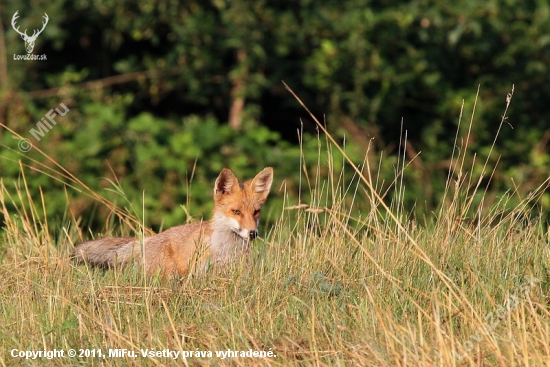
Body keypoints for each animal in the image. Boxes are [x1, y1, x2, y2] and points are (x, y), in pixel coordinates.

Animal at [72, 167, 274, 276]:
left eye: (256, 212)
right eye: (236, 212)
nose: (253, 233)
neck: (226, 250)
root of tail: (148, 239)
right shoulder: (199, 273)